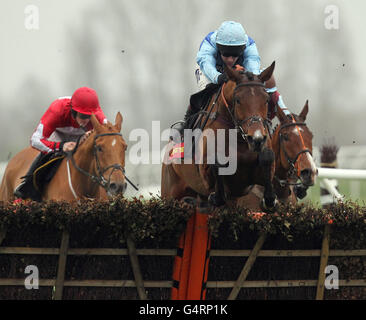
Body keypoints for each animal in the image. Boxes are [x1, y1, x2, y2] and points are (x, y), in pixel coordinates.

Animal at [162, 62, 278, 210]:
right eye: (238, 100)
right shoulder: (207, 176)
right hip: (169, 193)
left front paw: (270, 200)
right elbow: (216, 164)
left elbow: (267, 157)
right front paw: (214, 197)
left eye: (267, 99)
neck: (239, 139)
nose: (256, 139)